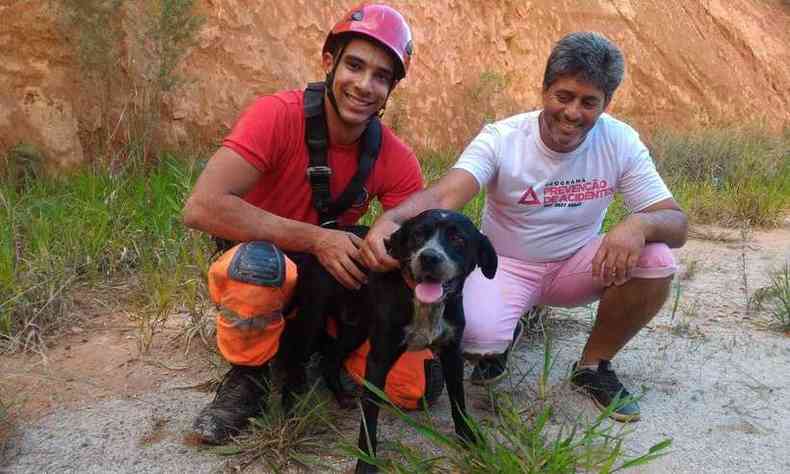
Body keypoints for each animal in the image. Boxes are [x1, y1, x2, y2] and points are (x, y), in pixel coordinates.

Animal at [282, 211, 498, 474]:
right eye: (418, 234)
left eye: (458, 239)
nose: (429, 257)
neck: (422, 302)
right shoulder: (379, 360)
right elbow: (370, 419)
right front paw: (366, 463)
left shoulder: (452, 353)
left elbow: (459, 402)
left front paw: (469, 439)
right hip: (313, 321)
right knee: (294, 362)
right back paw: (290, 414)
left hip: (357, 329)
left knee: (331, 359)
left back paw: (341, 396)